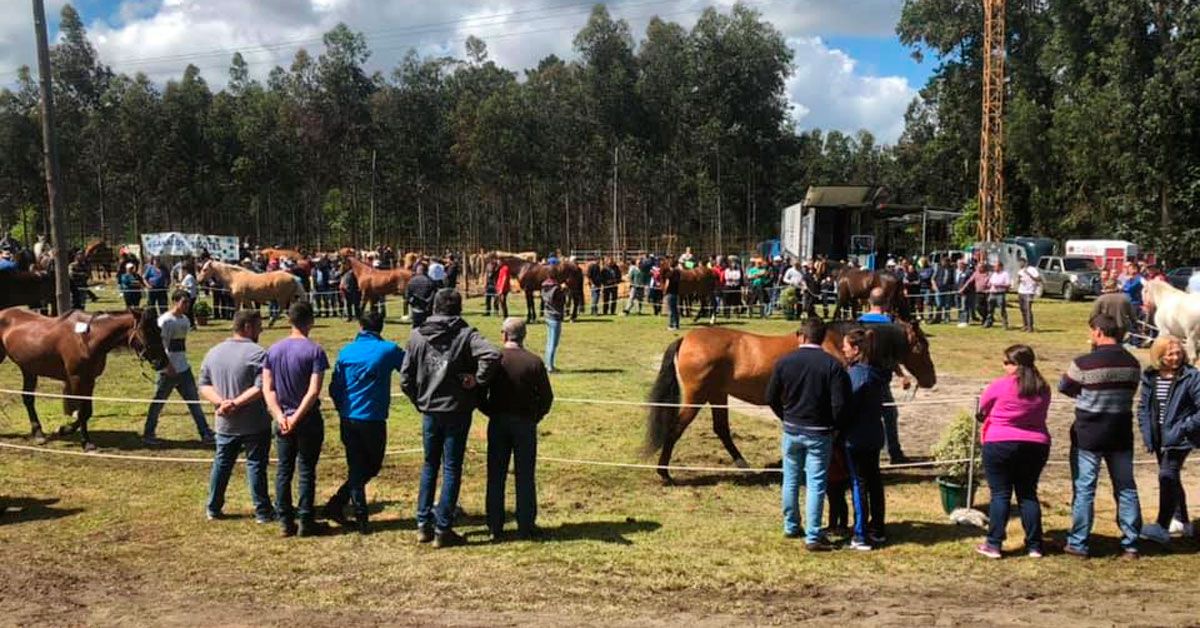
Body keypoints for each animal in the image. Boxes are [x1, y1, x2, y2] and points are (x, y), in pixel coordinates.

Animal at [0, 307, 169, 446]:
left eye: (159, 330)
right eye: (147, 331)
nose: (163, 361)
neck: (87, 339)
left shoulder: (90, 379)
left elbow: (87, 411)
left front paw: (65, 429)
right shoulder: (77, 379)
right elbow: (81, 411)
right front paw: (86, 442)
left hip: (29, 369)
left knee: (28, 398)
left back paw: (38, 433)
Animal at [648, 321, 936, 485]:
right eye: (921, 347)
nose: (931, 379)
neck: (835, 344)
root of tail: (686, 338)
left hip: (717, 396)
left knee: (721, 430)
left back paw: (744, 466)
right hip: (698, 398)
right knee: (676, 429)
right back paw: (664, 473)